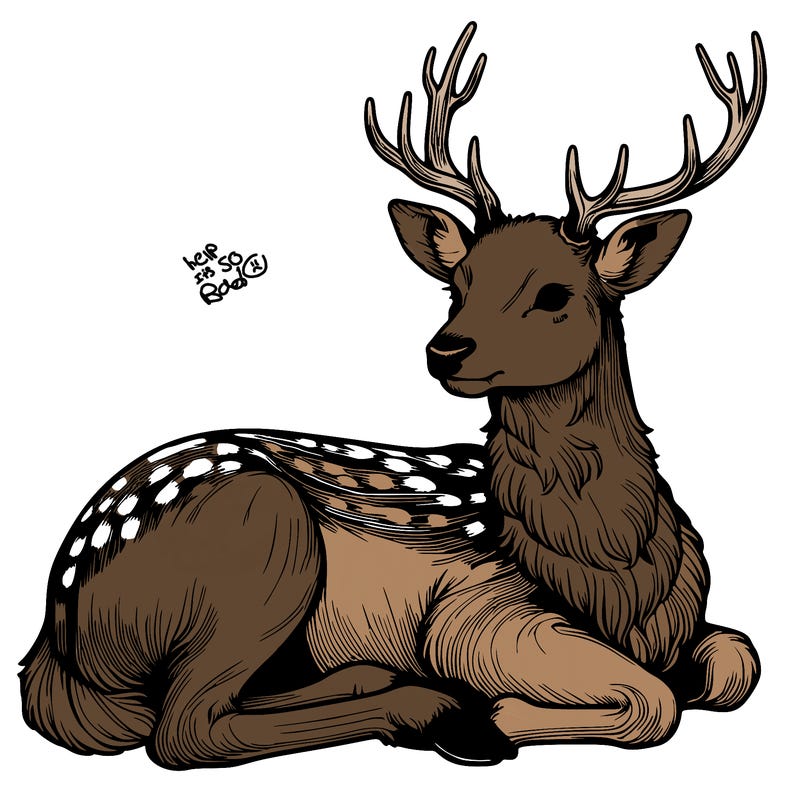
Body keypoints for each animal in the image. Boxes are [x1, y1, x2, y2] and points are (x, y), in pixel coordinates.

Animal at [20, 23, 765, 769]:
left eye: (555, 293)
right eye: (458, 283)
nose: (445, 349)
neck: (615, 574)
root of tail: (53, 636)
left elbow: (737, 661)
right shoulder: (478, 611)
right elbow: (654, 701)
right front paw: (493, 715)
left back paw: (380, 679)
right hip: (262, 540)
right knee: (183, 729)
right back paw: (434, 712)